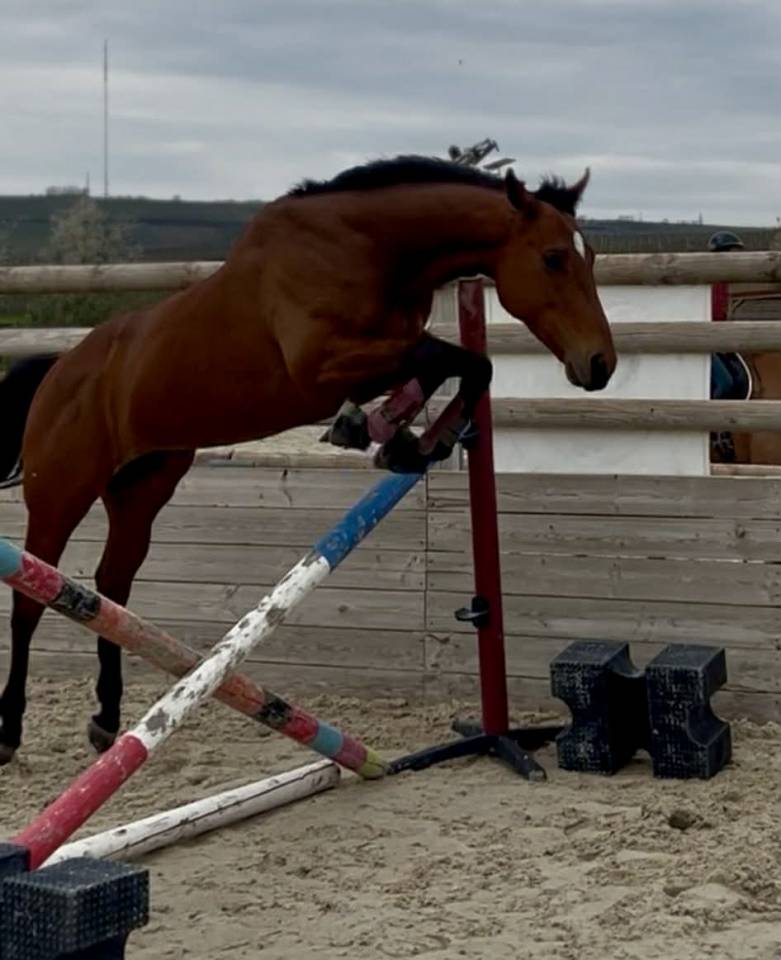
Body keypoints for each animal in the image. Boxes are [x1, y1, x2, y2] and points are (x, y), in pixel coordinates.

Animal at [0, 154, 616, 764]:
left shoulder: (378, 355)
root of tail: (61, 369)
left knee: (110, 586)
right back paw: (10, 731)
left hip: (140, 491)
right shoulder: (322, 367)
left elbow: (463, 366)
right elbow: (449, 357)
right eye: (553, 257)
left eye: (587, 256)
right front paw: (383, 431)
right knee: (32, 599)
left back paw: (106, 720)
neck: (369, 248)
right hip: (61, 492)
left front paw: (401, 438)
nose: (600, 364)